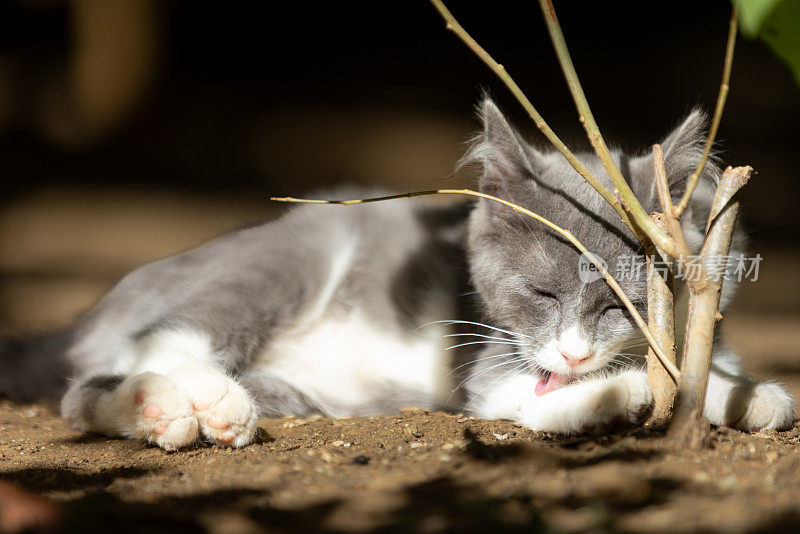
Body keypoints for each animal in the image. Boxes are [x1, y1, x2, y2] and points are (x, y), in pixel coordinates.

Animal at [0, 98, 792, 450]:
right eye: (540, 293)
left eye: (620, 307)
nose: (571, 356)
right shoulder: (489, 355)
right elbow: (524, 397)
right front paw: (624, 392)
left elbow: (686, 376)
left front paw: (746, 394)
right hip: (292, 250)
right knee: (135, 358)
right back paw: (182, 401)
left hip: (316, 394)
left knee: (89, 389)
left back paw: (179, 409)